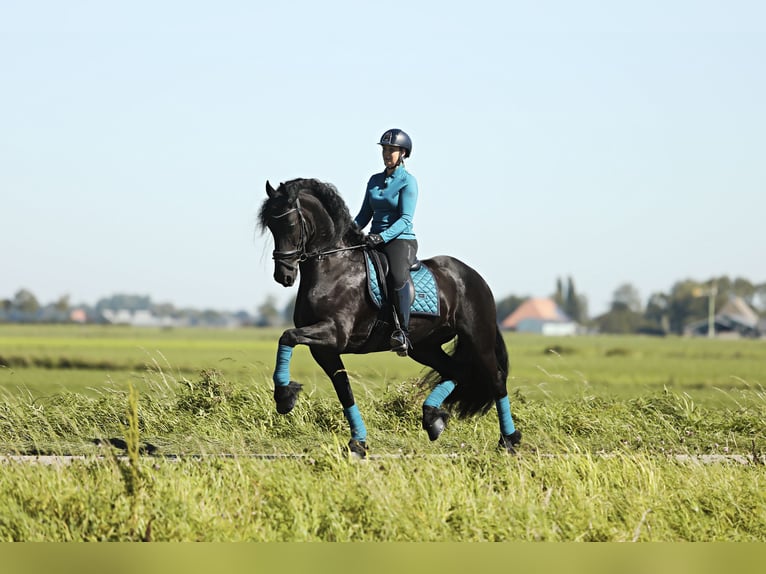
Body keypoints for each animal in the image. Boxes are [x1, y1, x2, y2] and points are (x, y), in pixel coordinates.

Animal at [260, 180, 520, 460]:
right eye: (271, 226)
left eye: (289, 224)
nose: (284, 275)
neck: (334, 264)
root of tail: (473, 276)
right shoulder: (324, 349)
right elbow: (344, 390)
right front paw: (357, 443)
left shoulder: (334, 333)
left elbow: (287, 336)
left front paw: (284, 397)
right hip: (425, 347)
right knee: (456, 371)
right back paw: (433, 419)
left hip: (478, 339)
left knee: (496, 380)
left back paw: (509, 441)